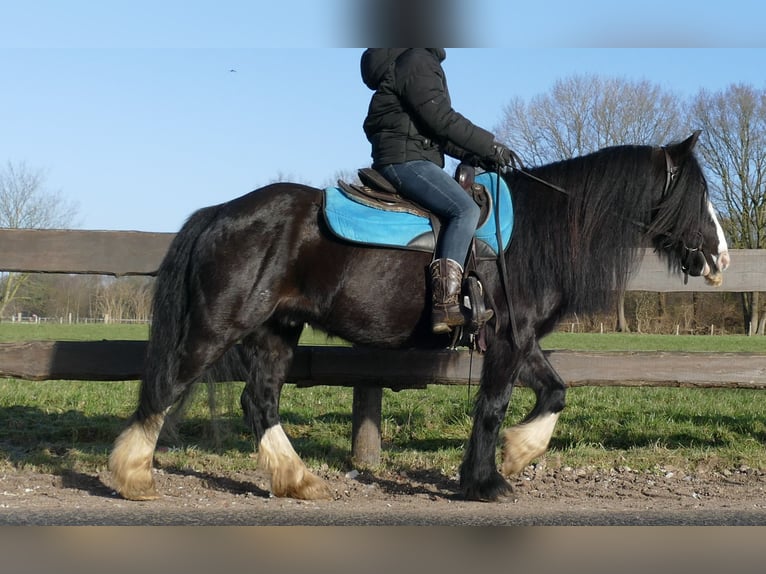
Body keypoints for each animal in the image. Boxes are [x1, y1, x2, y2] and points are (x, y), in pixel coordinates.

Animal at [108, 132, 732, 504]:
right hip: (218, 327)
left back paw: (297, 478)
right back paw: (133, 475)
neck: (532, 231)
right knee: (166, 385)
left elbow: (554, 391)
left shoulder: (519, 338)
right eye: (696, 194)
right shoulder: (507, 341)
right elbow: (492, 408)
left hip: (275, 330)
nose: (722, 256)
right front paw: (486, 480)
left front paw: (516, 454)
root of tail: (221, 212)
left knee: (259, 400)